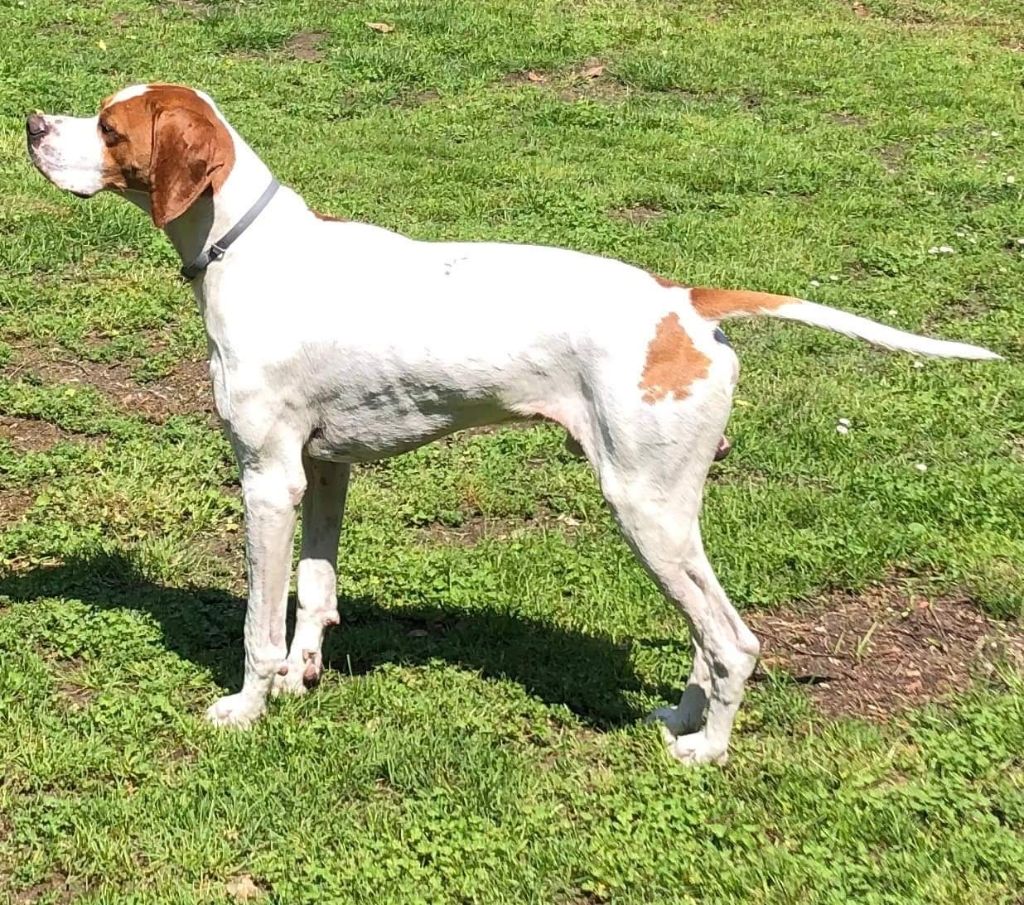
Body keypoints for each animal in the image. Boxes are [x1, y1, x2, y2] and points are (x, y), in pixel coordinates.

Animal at [25, 84, 999, 761]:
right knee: (703, 639)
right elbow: (315, 591)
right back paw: (678, 715)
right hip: (672, 516)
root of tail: (684, 301)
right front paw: (305, 679)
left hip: (643, 509)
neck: (249, 250)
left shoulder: (268, 479)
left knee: (733, 640)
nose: (33, 122)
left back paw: (707, 748)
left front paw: (246, 708)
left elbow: (259, 626)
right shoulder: (326, 471)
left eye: (110, 128)